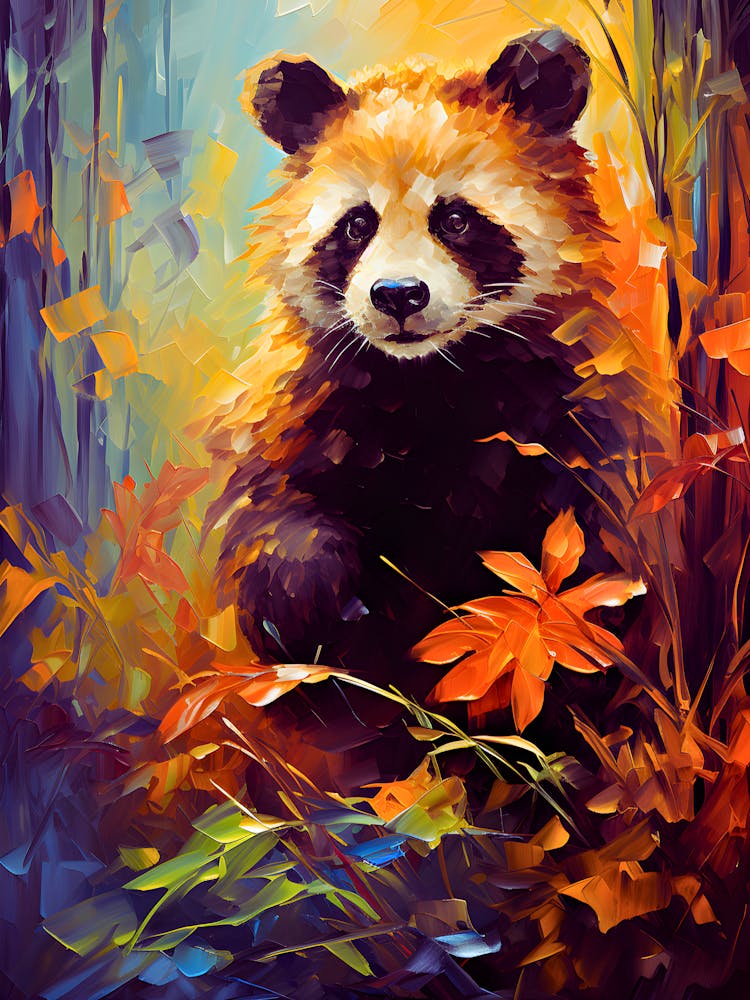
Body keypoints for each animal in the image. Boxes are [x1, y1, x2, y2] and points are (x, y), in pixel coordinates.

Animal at [203, 29, 667, 702]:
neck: (433, 377)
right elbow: (274, 527)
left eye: (455, 218)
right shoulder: (308, 408)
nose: (398, 296)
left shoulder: (570, 415)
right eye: (356, 225)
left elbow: (598, 551)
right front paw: (317, 593)